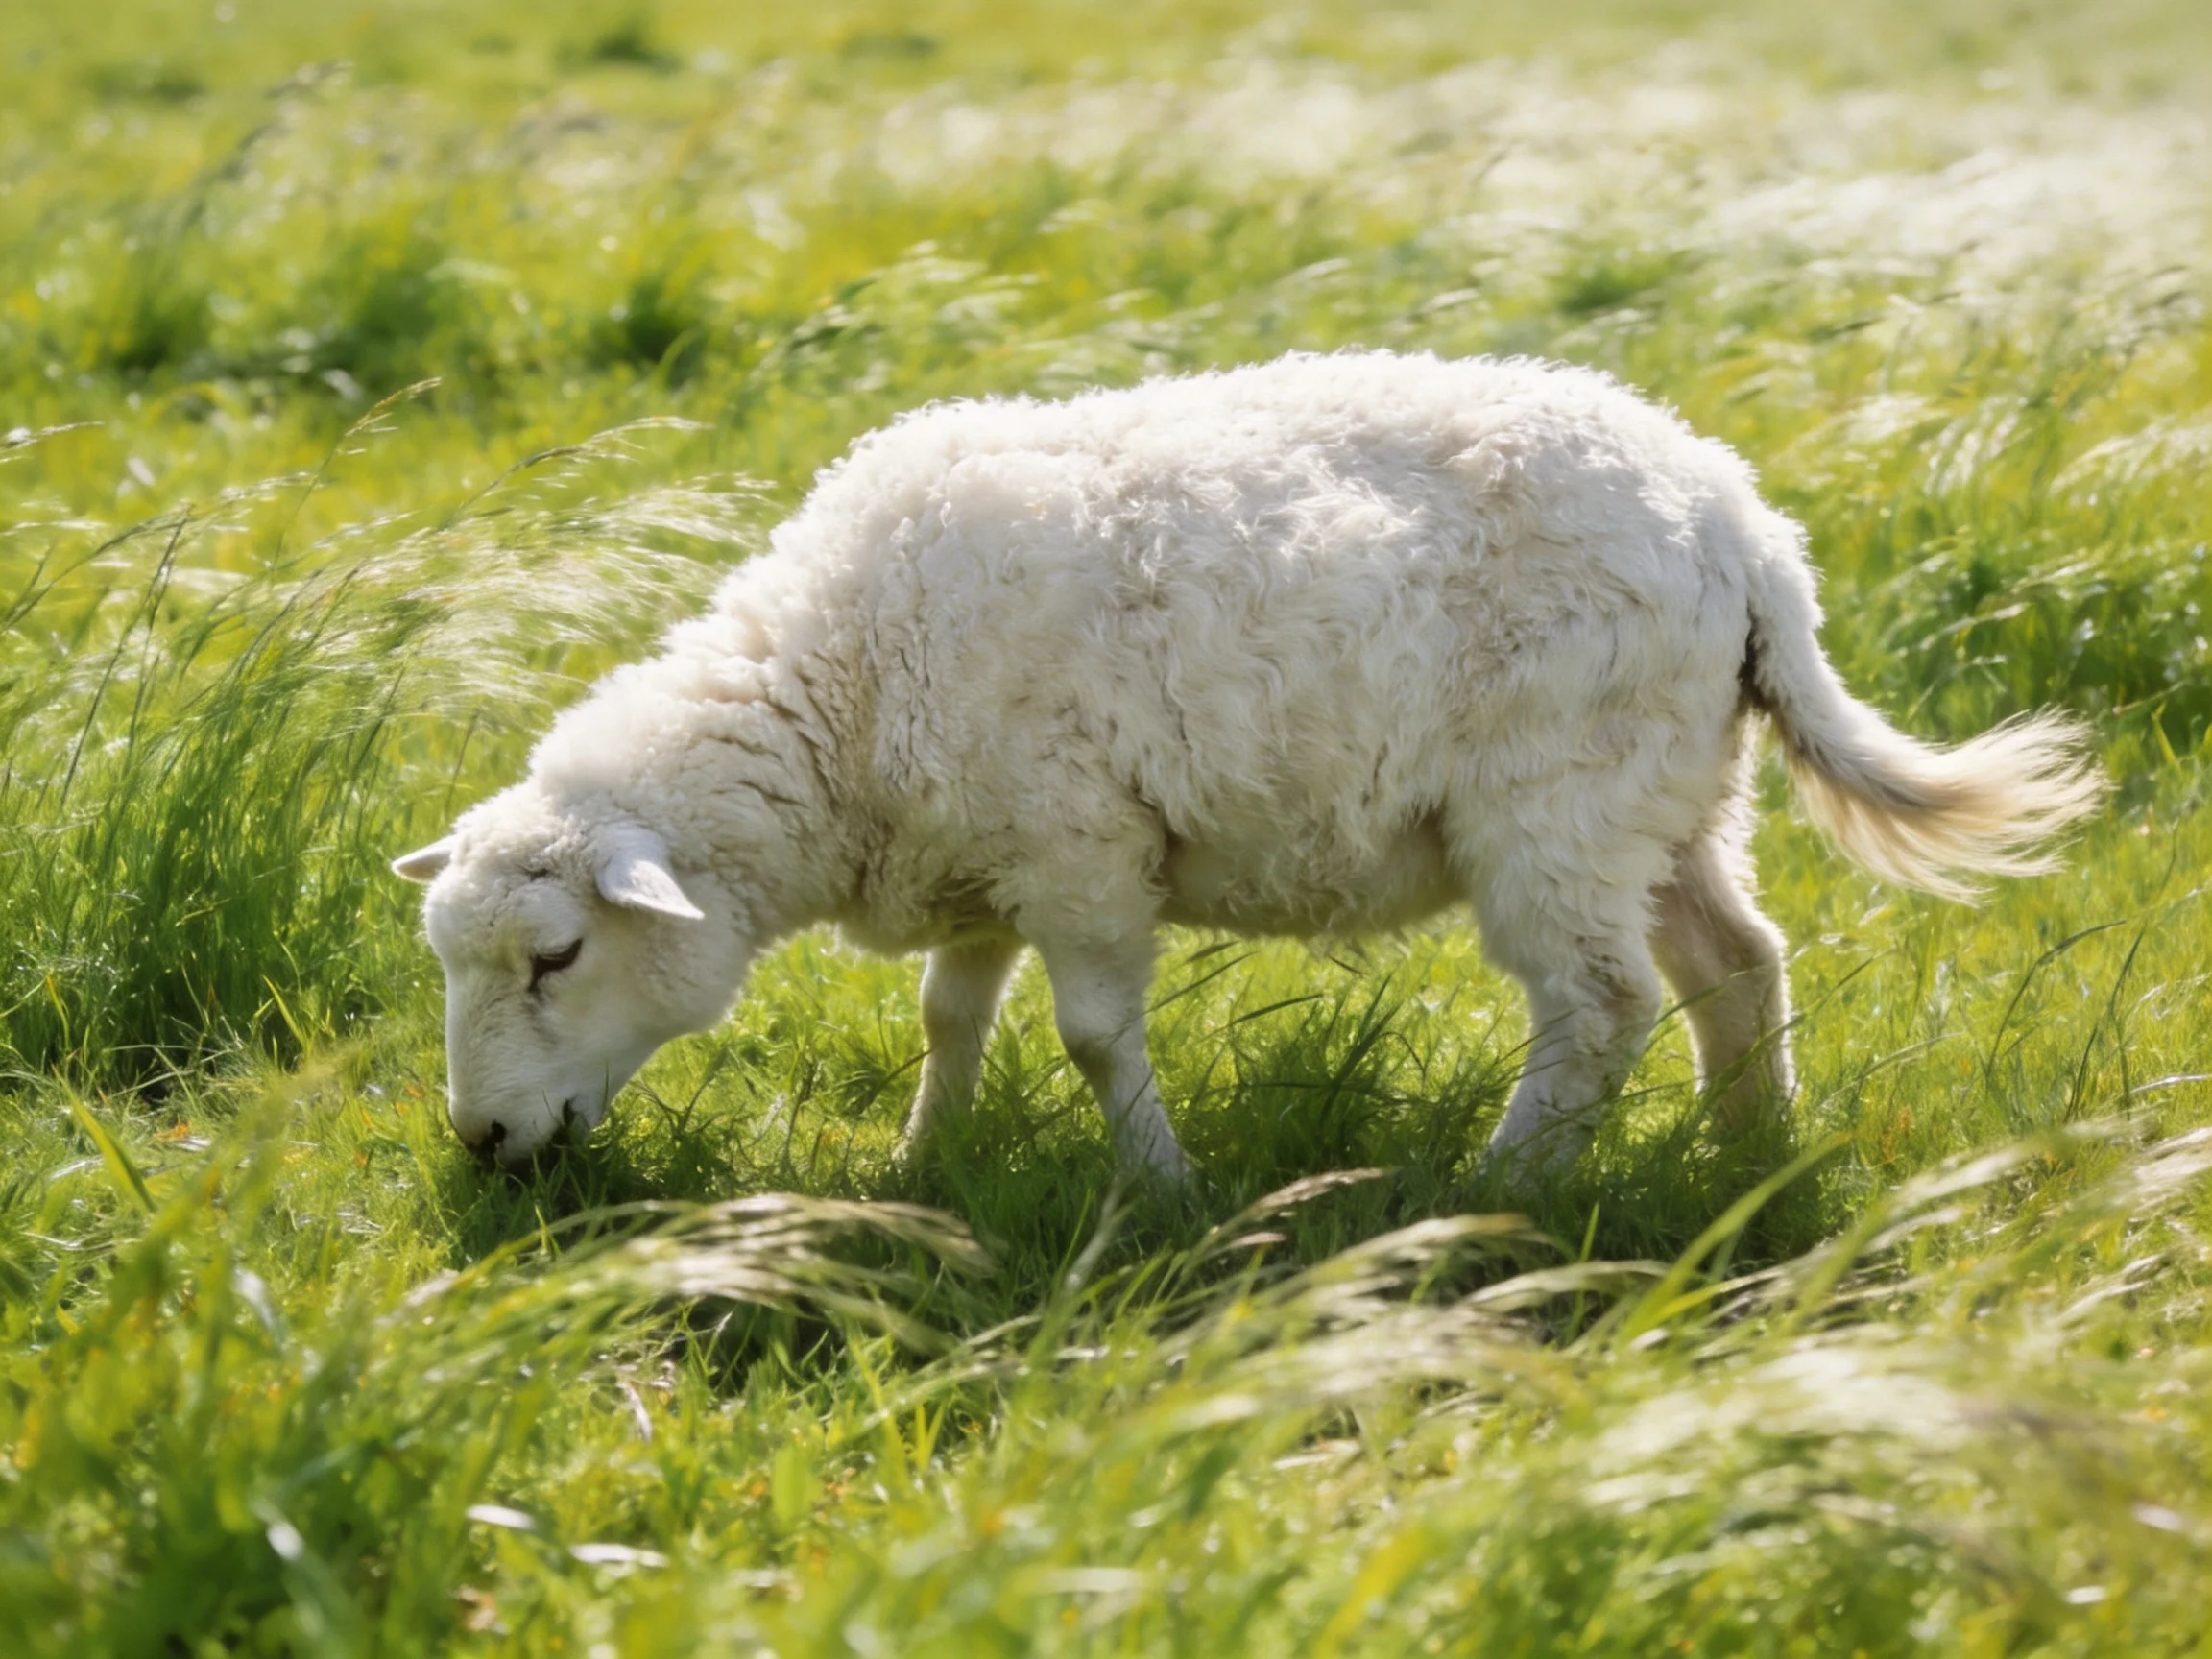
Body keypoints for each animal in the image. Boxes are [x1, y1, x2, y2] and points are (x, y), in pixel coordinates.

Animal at [392, 350, 2102, 1177]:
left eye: (554, 958)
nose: (481, 1146)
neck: (839, 695)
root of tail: (1751, 529)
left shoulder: (1079, 848)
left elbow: (1090, 1038)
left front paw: (1160, 1189)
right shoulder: (981, 857)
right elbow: (951, 1018)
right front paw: (928, 1159)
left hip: (1558, 801)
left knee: (1601, 1007)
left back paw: (1501, 1189)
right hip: (1670, 796)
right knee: (1733, 965)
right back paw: (1752, 1163)